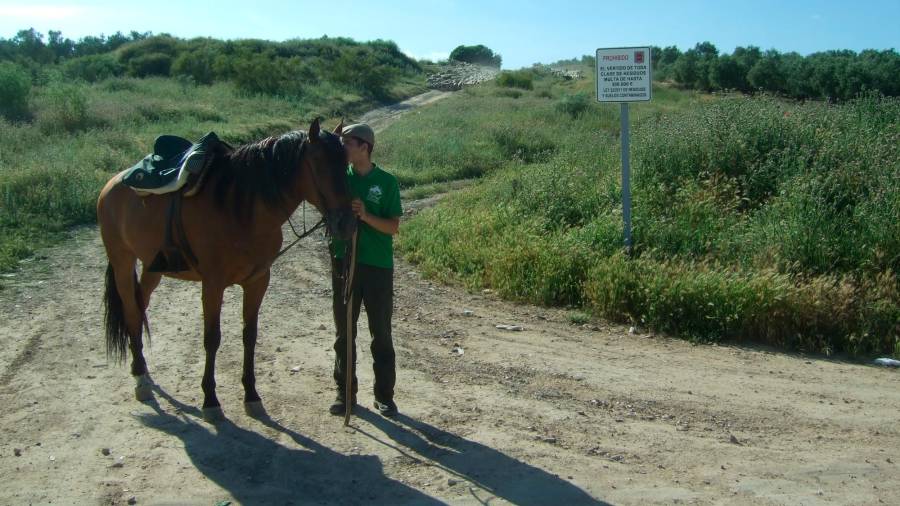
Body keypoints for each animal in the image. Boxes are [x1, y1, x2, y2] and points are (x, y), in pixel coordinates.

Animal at [96, 117, 354, 420]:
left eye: (346, 163)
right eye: (319, 163)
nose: (347, 224)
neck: (241, 208)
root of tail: (113, 183)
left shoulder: (258, 280)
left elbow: (250, 336)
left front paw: (252, 395)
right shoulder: (213, 285)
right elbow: (212, 339)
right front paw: (210, 400)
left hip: (152, 268)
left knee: (139, 306)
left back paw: (144, 373)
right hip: (122, 262)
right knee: (131, 312)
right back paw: (140, 380)